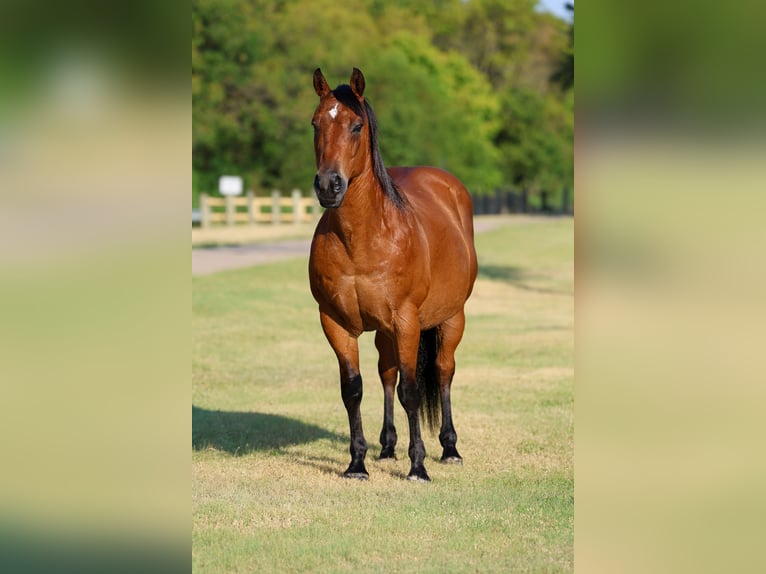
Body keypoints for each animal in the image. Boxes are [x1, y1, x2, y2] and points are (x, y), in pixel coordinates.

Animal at [308, 68, 478, 482]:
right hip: (384, 331)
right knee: (386, 373)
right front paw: (356, 464)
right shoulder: (335, 322)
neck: (364, 238)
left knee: (443, 372)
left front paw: (418, 466)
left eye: (356, 126)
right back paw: (386, 448)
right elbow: (353, 389)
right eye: (315, 123)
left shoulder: (406, 321)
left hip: (452, 318)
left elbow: (412, 391)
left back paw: (449, 448)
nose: (328, 185)